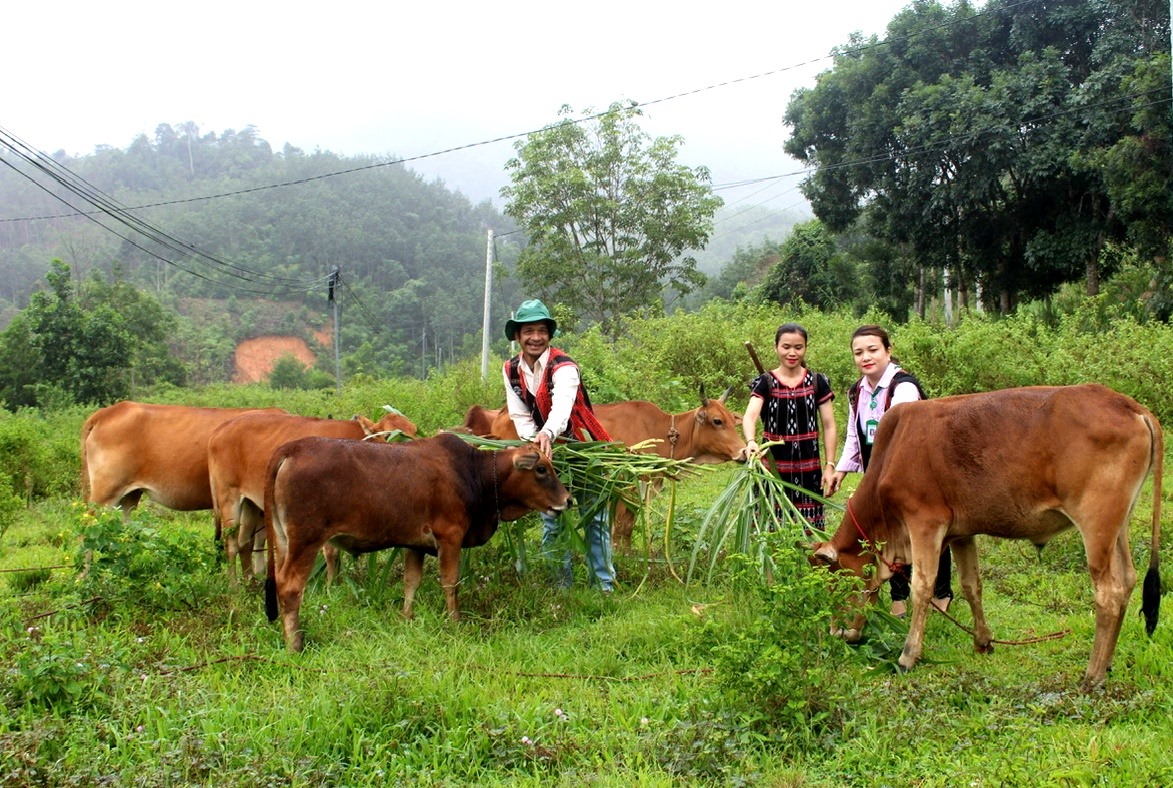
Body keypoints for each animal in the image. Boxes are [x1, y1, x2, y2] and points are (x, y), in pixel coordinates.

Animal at [207, 410, 417, 581]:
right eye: (389, 434)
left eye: (414, 431)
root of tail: (219, 430)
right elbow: (331, 553)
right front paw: (332, 587)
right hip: (228, 498)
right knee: (231, 545)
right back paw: (235, 587)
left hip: (250, 503)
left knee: (244, 543)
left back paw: (250, 583)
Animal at [268, 431, 572, 651]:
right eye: (542, 469)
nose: (568, 500)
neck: (474, 473)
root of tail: (290, 450)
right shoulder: (449, 537)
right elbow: (451, 583)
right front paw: (455, 620)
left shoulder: (414, 546)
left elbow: (411, 583)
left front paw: (407, 618)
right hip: (306, 541)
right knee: (290, 587)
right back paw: (295, 643)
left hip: (283, 541)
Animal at [811, 382, 1158, 689]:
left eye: (835, 584)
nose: (837, 633)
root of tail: (1130, 407)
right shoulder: (961, 533)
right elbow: (971, 585)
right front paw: (983, 641)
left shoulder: (924, 523)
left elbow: (922, 588)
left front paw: (908, 656)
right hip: (1119, 526)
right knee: (1127, 581)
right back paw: (1107, 664)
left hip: (1096, 524)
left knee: (1108, 594)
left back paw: (1093, 675)